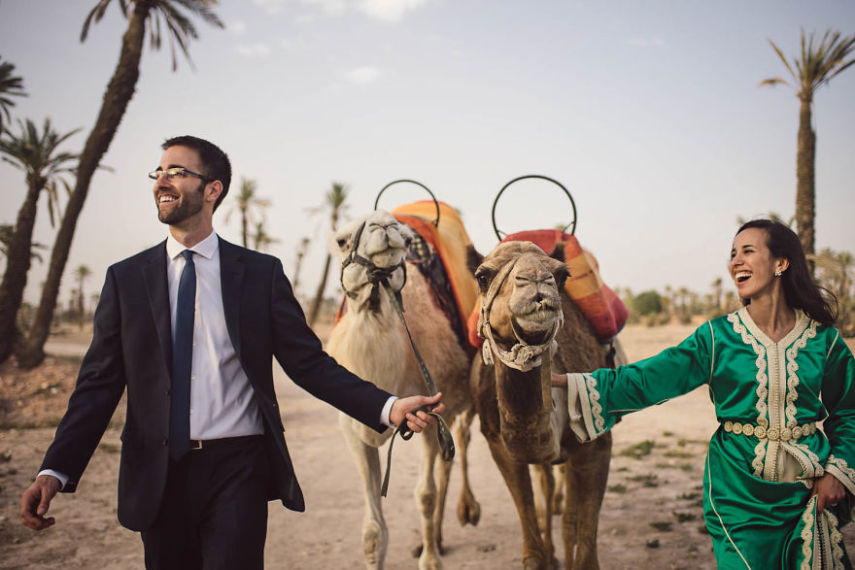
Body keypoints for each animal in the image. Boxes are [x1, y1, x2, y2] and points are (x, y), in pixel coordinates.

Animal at [324, 210, 478, 568]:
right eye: (342, 240)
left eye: (407, 240)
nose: (385, 225)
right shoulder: (352, 429)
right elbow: (373, 531)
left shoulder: (431, 412)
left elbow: (425, 495)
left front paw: (431, 561)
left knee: (461, 443)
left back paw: (466, 514)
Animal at [468, 241, 628, 568]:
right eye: (482, 276)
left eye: (563, 274)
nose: (537, 281)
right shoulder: (498, 444)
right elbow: (532, 553)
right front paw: (545, 555)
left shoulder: (597, 445)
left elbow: (583, 549)